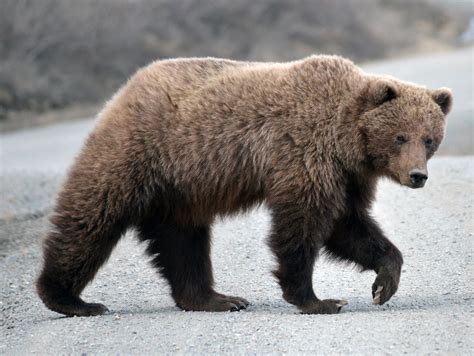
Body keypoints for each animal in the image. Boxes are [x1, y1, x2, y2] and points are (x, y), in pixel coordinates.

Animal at [36, 54, 452, 316]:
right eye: (400, 136)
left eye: (429, 138)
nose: (417, 175)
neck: (347, 141)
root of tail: (126, 88)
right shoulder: (303, 153)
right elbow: (302, 226)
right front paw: (318, 300)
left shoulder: (346, 176)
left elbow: (348, 226)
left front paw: (384, 283)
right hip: (140, 151)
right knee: (93, 216)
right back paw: (70, 299)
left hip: (180, 189)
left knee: (183, 241)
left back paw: (215, 298)